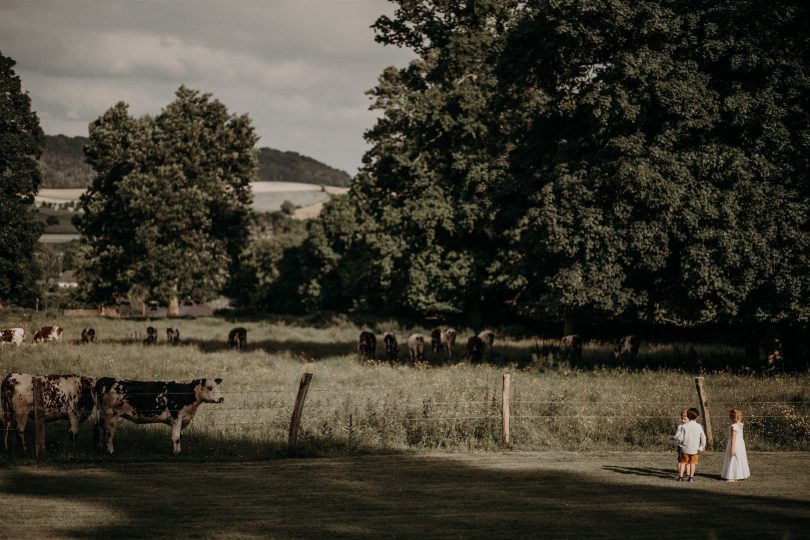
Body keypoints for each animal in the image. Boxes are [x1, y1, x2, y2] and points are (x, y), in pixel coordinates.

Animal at [96, 376, 226, 456]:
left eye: (217, 387)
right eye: (209, 387)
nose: (221, 398)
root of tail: (104, 379)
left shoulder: (182, 419)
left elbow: (179, 437)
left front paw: (176, 451)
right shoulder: (176, 416)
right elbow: (176, 437)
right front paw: (176, 453)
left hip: (103, 416)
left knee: (100, 432)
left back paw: (100, 449)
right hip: (111, 416)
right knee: (109, 434)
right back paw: (111, 452)